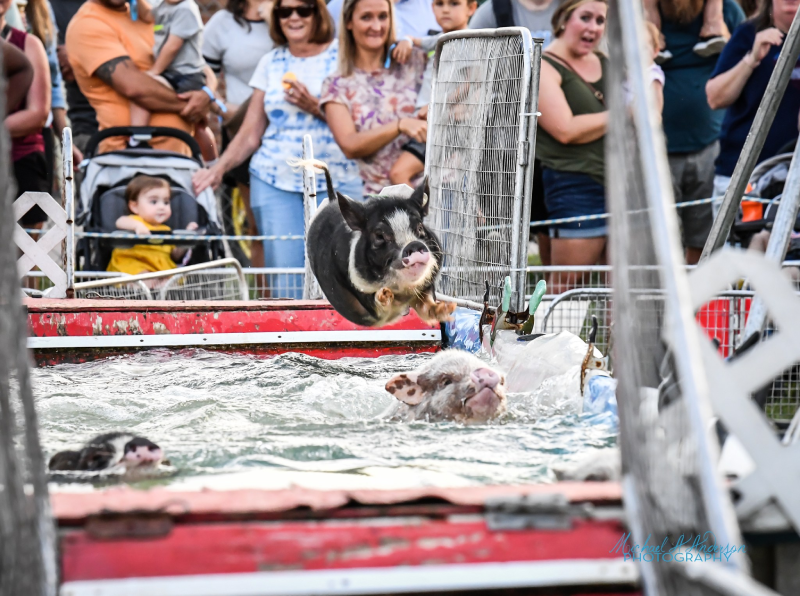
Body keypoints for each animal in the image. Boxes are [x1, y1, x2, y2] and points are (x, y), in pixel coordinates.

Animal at [296, 156, 456, 328]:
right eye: (379, 236)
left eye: (419, 227)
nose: (414, 245)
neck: (403, 292)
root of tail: (333, 199)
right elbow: (378, 304)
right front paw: (385, 294)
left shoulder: (425, 286)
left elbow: (426, 304)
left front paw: (447, 308)